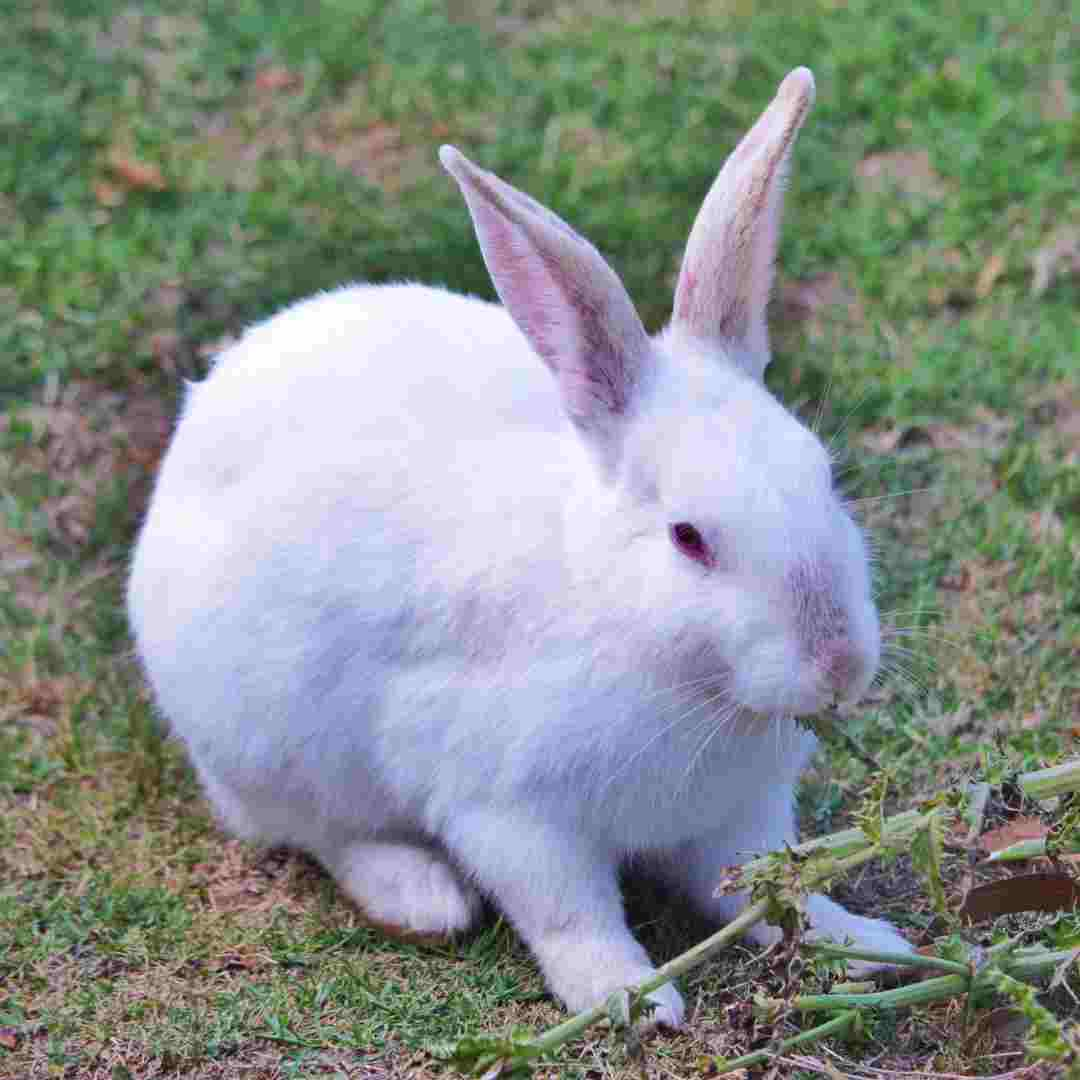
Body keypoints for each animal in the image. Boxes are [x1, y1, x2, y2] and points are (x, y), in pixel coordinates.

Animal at [130, 69, 915, 1028]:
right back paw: (419, 895)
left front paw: (864, 942)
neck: (674, 668)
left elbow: (769, 887)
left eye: (826, 475)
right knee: (319, 833)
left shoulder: (739, 814)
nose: (839, 663)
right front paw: (628, 996)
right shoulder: (511, 814)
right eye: (688, 538)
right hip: (267, 744)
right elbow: (571, 913)